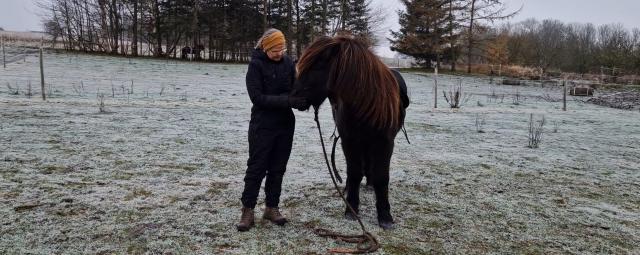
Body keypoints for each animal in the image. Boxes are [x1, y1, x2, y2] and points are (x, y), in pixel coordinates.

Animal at [292, 35, 410, 229]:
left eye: (316, 67)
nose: (293, 98)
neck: (366, 104)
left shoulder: (385, 143)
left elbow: (382, 176)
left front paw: (385, 216)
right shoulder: (350, 140)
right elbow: (354, 172)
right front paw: (351, 209)